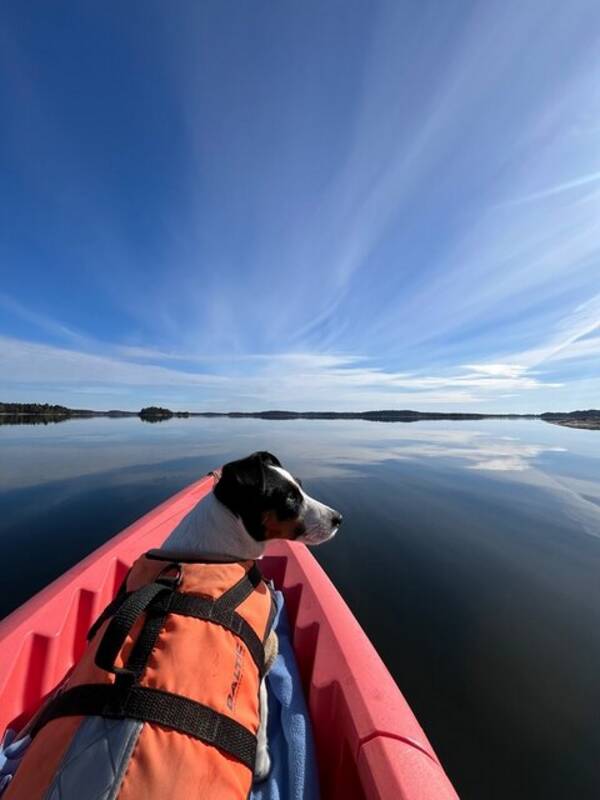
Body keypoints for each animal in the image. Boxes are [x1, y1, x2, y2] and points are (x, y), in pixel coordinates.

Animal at [162, 450, 342, 780]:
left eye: (300, 486)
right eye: (289, 498)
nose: (339, 518)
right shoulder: (266, 649)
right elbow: (263, 706)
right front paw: (260, 758)